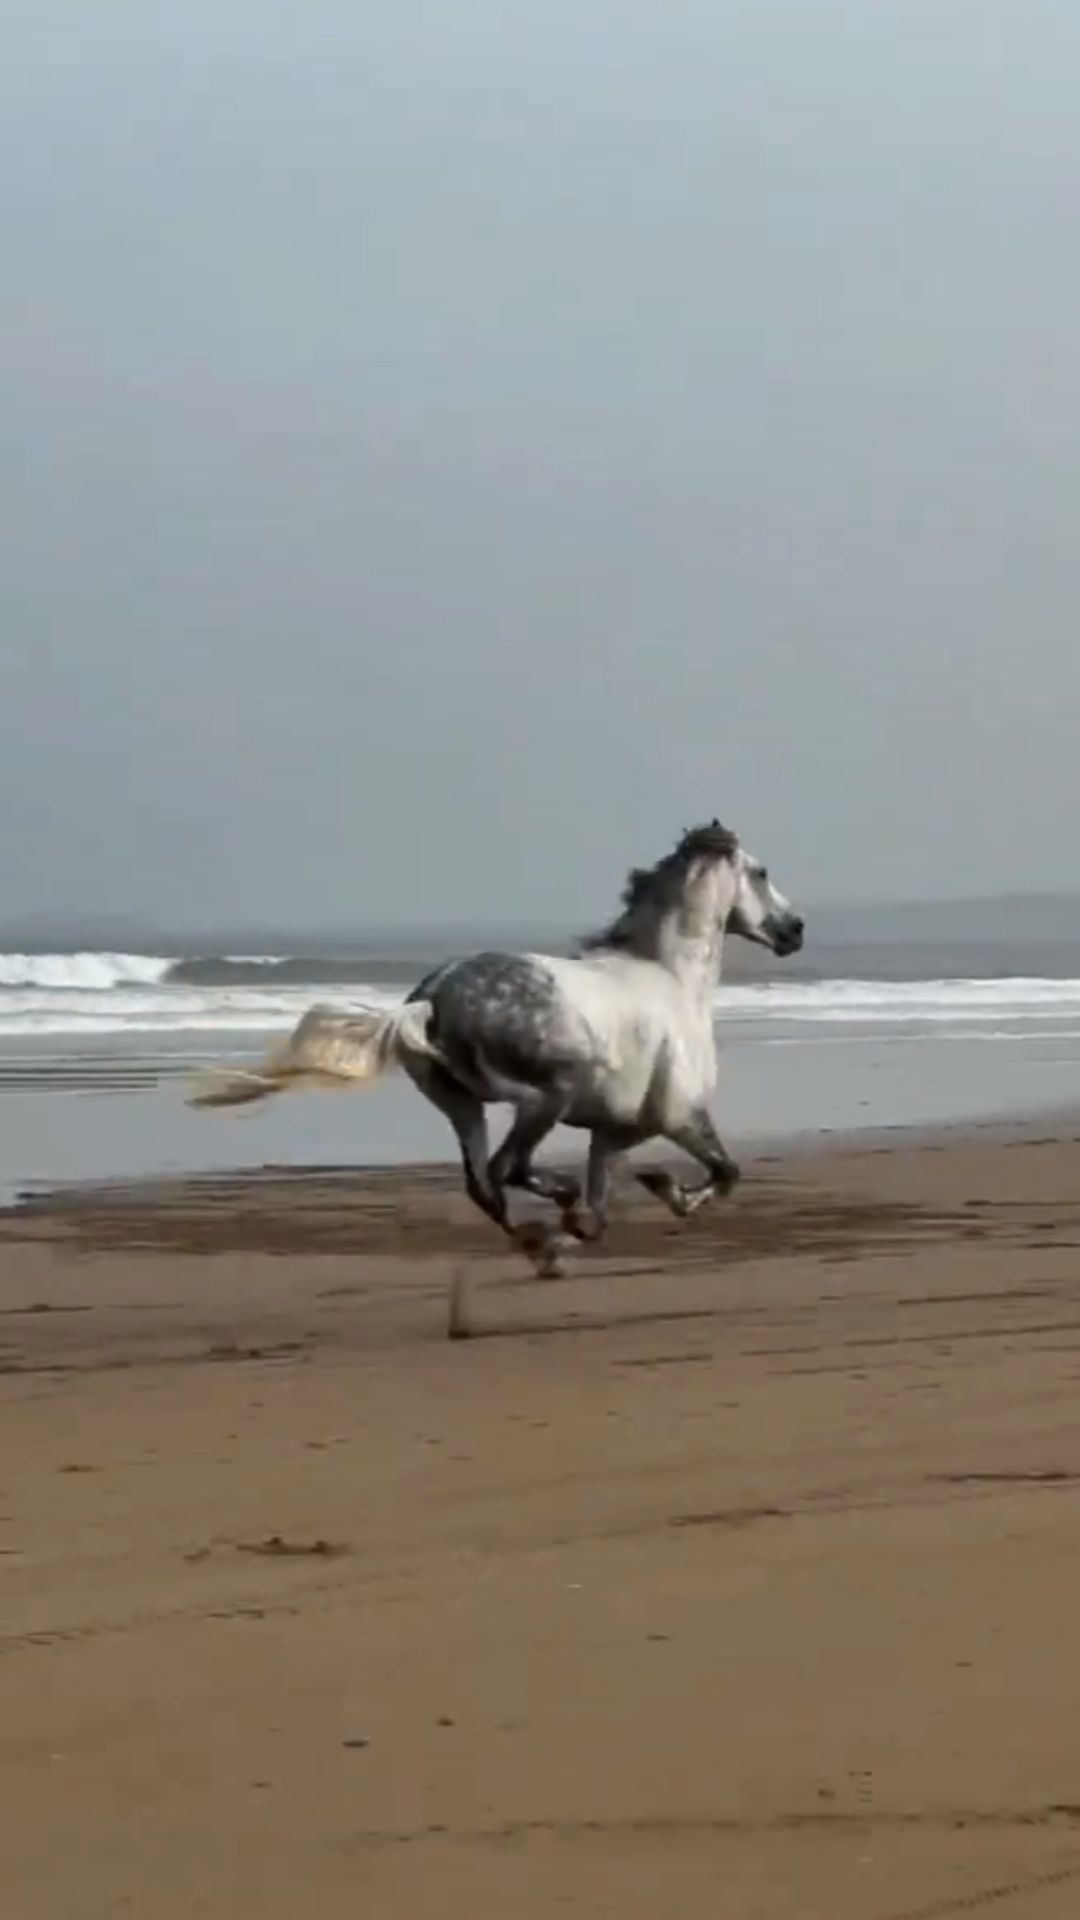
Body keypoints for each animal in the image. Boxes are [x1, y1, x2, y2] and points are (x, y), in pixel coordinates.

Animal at [190, 821, 804, 1278]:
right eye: (762, 872)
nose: (795, 930)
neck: (672, 979)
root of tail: (432, 997)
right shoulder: (676, 1117)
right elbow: (724, 1173)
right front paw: (658, 1189)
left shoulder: (611, 1132)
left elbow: (605, 1209)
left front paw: (578, 1231)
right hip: (544, 1098)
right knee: (506, 1167)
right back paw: (553, 1218)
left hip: (460, 1103)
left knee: (483, 1186)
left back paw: (542, 1241)